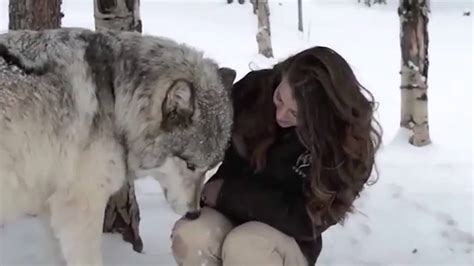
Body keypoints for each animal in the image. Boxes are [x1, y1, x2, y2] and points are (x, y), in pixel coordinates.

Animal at [0, 27, 235, 266]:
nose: (194, 214)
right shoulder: (80, 208)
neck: (116, 98)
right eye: (189, 165)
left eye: (210, 168)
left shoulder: (52, 206)